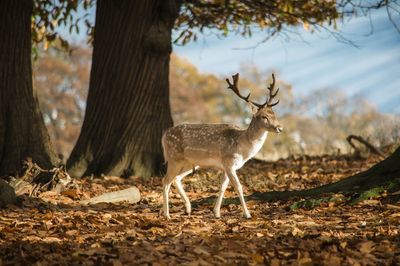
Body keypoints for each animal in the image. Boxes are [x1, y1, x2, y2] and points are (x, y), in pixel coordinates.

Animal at [161, 72, 282, 218]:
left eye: (274, 114)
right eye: (264, 116)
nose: (279, 128)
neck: (242, 147)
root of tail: (164, 135)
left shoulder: (225, 167)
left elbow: (223, 187)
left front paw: (217, 212)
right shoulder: (229, 162)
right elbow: (238, 187)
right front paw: (247, 214)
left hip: (190, 163)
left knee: (176, 179)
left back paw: (188, 208)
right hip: (174, 158)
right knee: (165, 181)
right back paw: (167, 215)